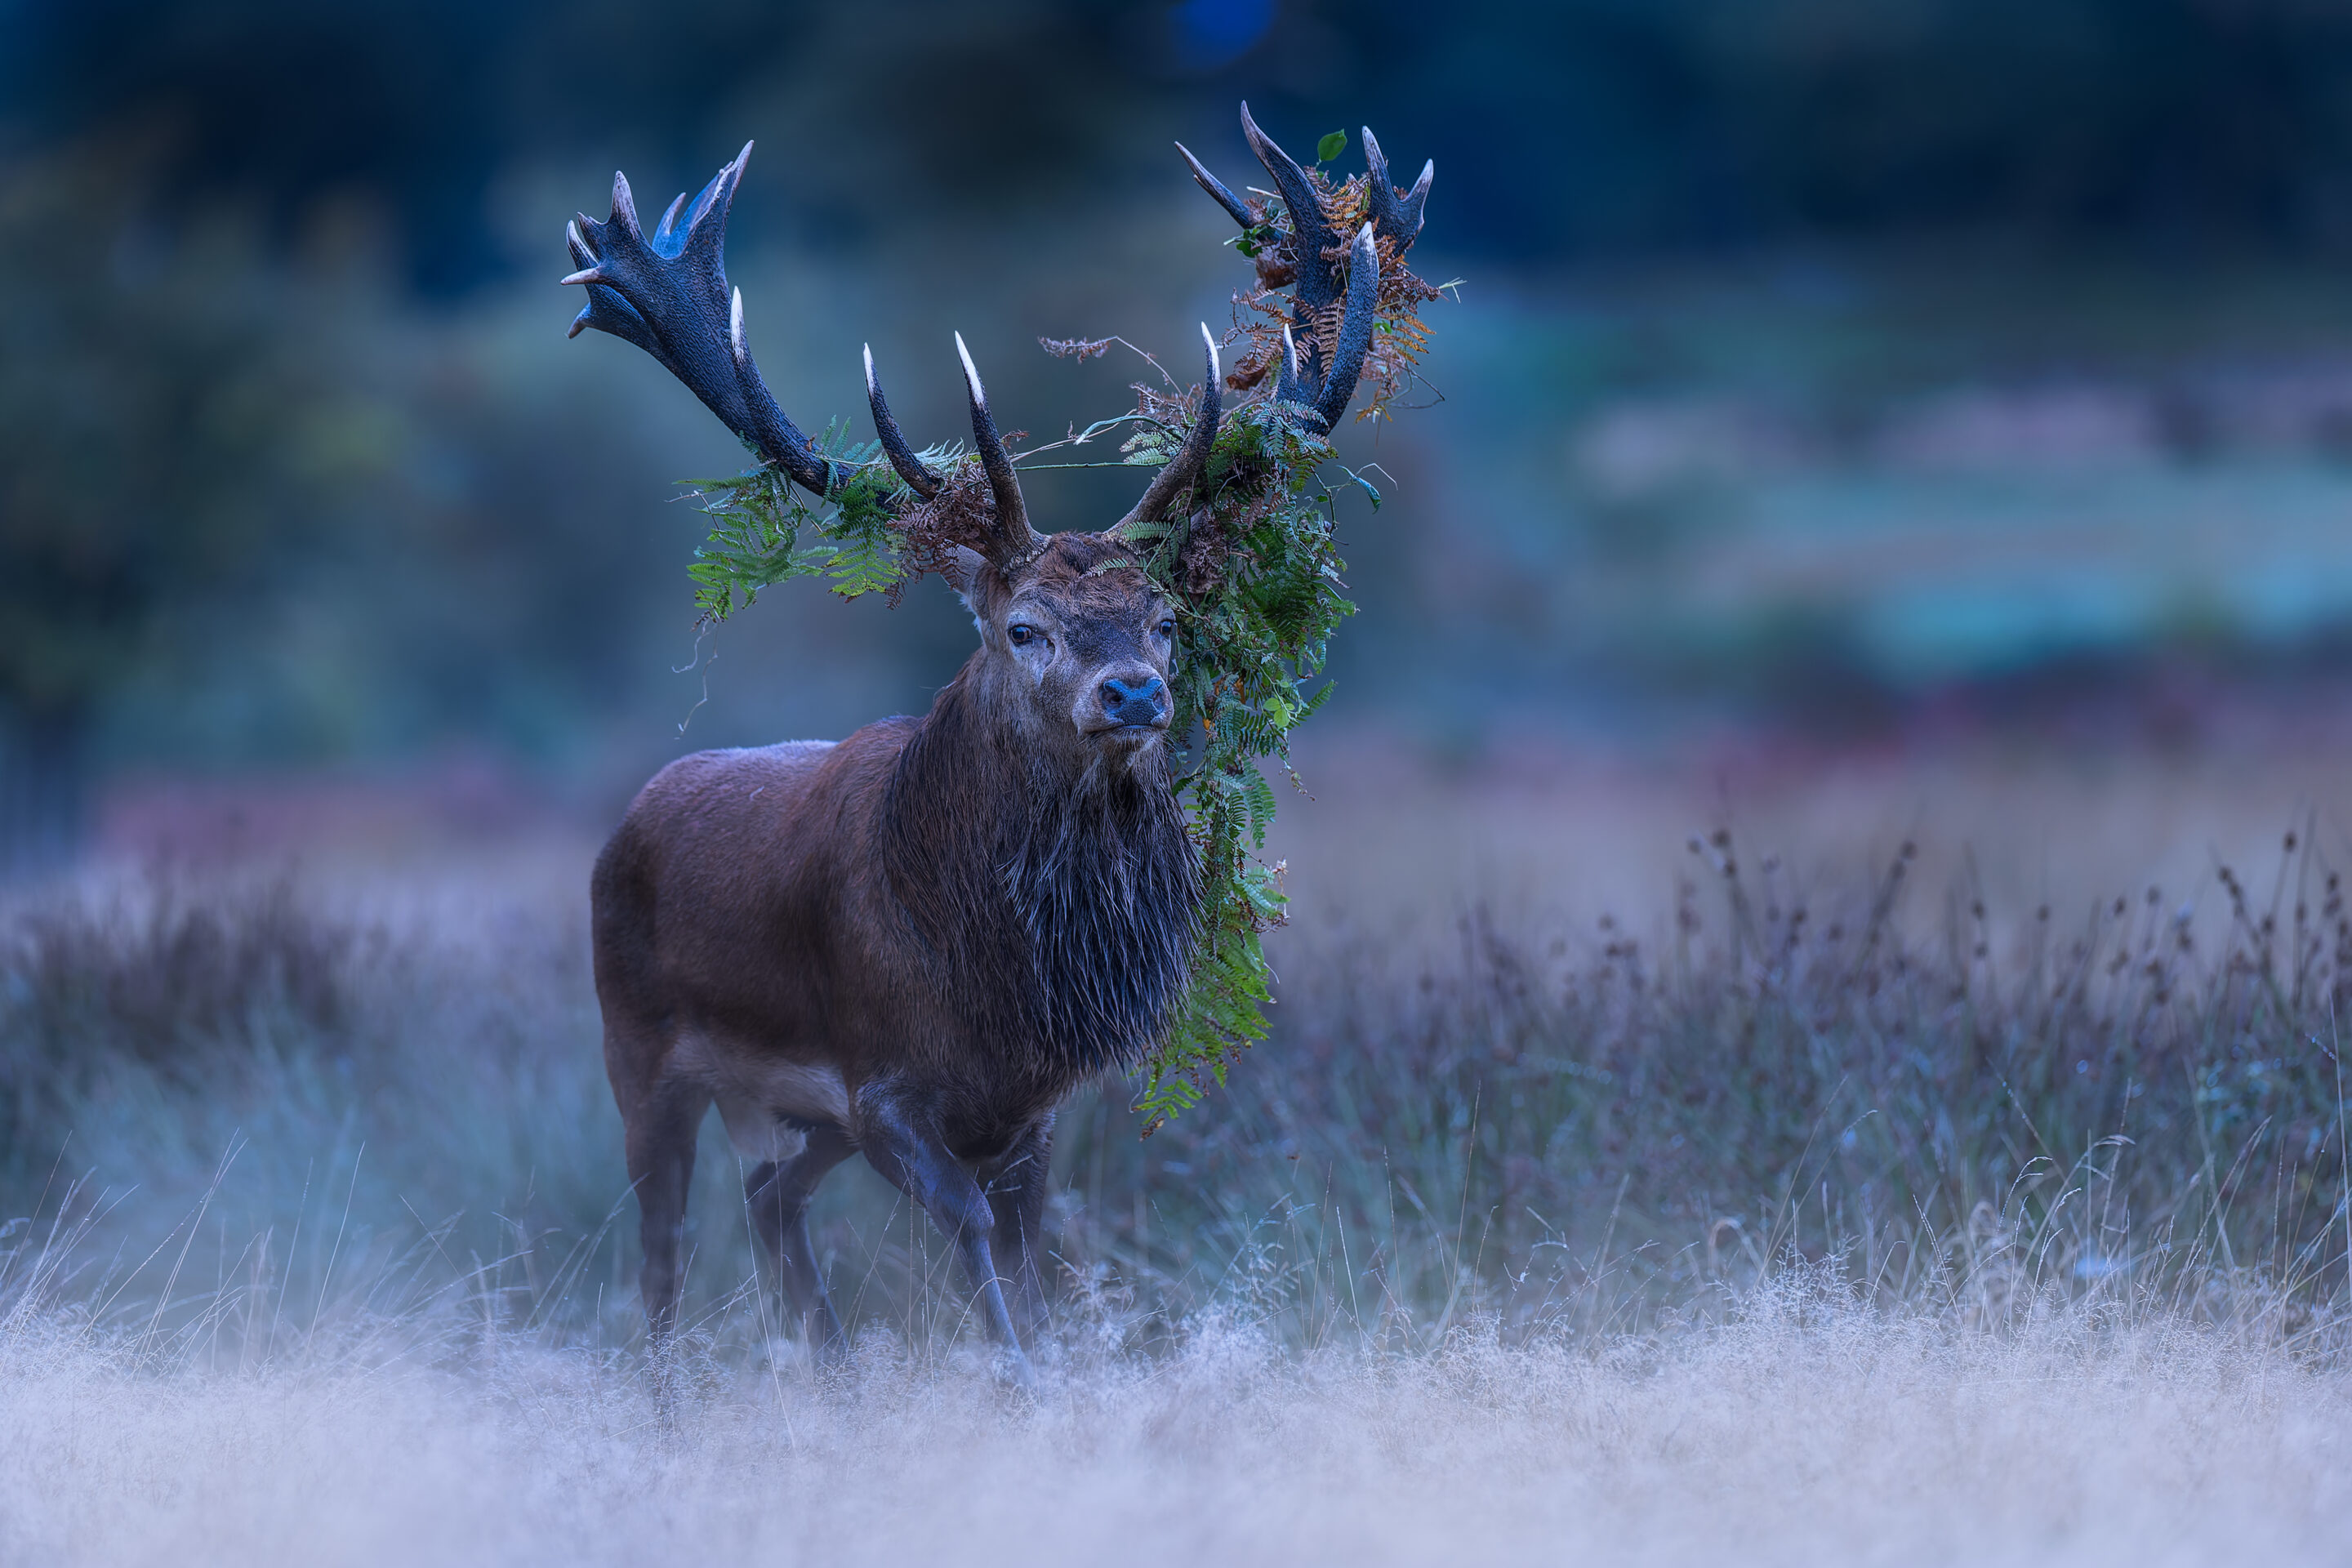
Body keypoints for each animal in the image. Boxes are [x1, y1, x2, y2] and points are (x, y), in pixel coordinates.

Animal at [563, 104, 1432, 1378]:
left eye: (1164, 620)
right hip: (639, 1049)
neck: (995, 990)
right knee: (663, 1244)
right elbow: (980, 1249)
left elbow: (1040, 1258)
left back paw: (832, 1376)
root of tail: (630, 817)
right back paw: (670, 1385)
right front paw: (1019, 1384)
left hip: (790, 1116)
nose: (1132, 694)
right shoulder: (882, 1088)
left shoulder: (1029, 1111)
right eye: (1023, 627)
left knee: (770, 1203)